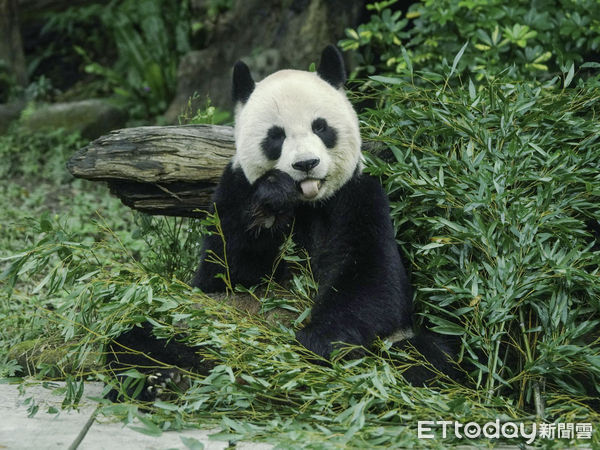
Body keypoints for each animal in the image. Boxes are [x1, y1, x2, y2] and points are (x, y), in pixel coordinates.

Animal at [106, 45, 454, 400]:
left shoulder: (358, 193)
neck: (307, 203)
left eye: (320, 127)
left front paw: (313, 344)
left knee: (425, 356)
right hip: (197, 319)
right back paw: (159, 380)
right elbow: (224, 269)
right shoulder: (234, 189)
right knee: (140, 335)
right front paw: (272, 200)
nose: (306, 164)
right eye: (276, 136)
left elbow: (372, 278)